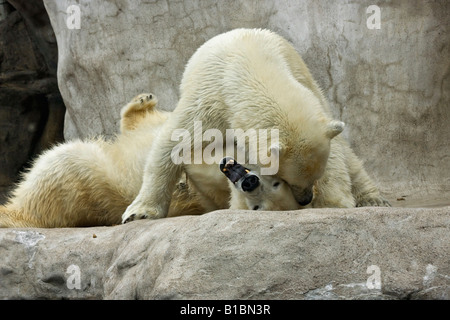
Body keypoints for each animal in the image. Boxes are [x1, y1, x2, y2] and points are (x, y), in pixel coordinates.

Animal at [121, 27, 388, 222]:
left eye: (315, 177)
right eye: (287, 180)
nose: (305, 199)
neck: (250, 68)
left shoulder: (308, 92)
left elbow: (336, 158)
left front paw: (333, 203)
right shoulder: (209, 102)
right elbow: (173, 142)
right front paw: (140, 211)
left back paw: (373, 198)